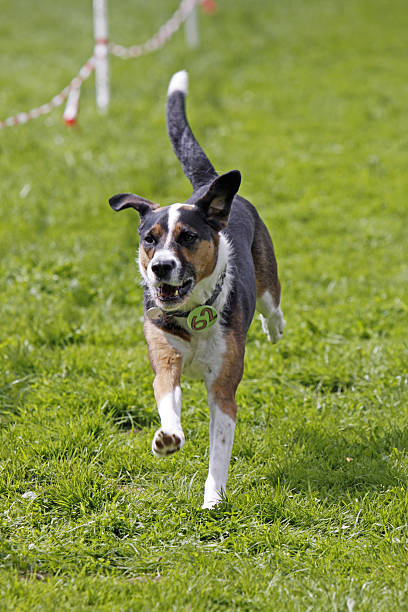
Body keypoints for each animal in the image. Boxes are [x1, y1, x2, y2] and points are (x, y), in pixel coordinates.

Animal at [110, 71, 286, 510]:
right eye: (149, 239)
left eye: (187, 237)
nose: (160, 268)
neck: (192, 313)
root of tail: (208, 188)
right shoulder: (166, 361)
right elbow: (166, 400)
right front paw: (168, 438)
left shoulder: (223, 387)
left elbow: (219, 450)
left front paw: (213, 500)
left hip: (268, 277)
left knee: (272, 305)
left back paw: (273, 328)